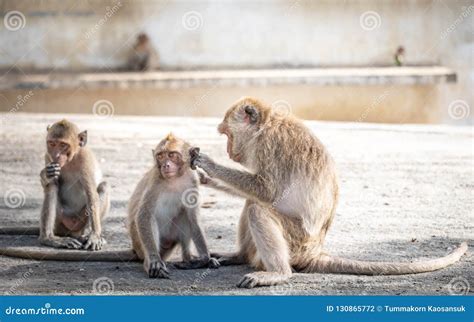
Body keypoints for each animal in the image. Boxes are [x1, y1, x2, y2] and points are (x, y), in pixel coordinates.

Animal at [128, 132, 220, 278]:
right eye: (160, 156)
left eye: (172, 155)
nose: (166, 165)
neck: (175, 179)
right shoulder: (155, 181)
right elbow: (144, 215)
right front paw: (154, 261)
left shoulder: (193, 181)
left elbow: (193, 219)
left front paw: (206, 258)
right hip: (140, 245)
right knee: (151, 220)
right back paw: (150, 263)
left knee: (185, 217)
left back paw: (188, 259)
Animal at [191, 97, 468, 288]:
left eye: (228, 135)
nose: (228, 151)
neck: (268, 124)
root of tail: (314, 252)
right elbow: (258, 193)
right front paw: (205, 178)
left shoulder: (269, 145)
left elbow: (266, 191)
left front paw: (209, 165)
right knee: (251, 204)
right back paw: (240, 256)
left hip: (297, 242)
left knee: (258, 209)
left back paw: (278, 273)